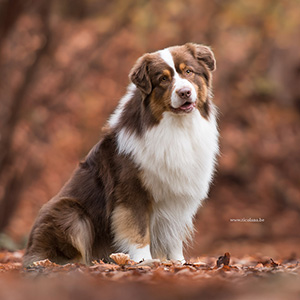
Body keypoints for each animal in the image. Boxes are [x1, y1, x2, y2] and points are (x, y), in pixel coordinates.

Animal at [22, 43, 218, 266]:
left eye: (189, 72)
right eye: (163, 79)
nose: (185, 92)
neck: (177, 127)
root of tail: (29, 250)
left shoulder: (179, 195)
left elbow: (174, 234)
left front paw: (179, 263)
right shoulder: (132, 191)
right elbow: (138, 228)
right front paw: (144, 261)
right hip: (71, 213)